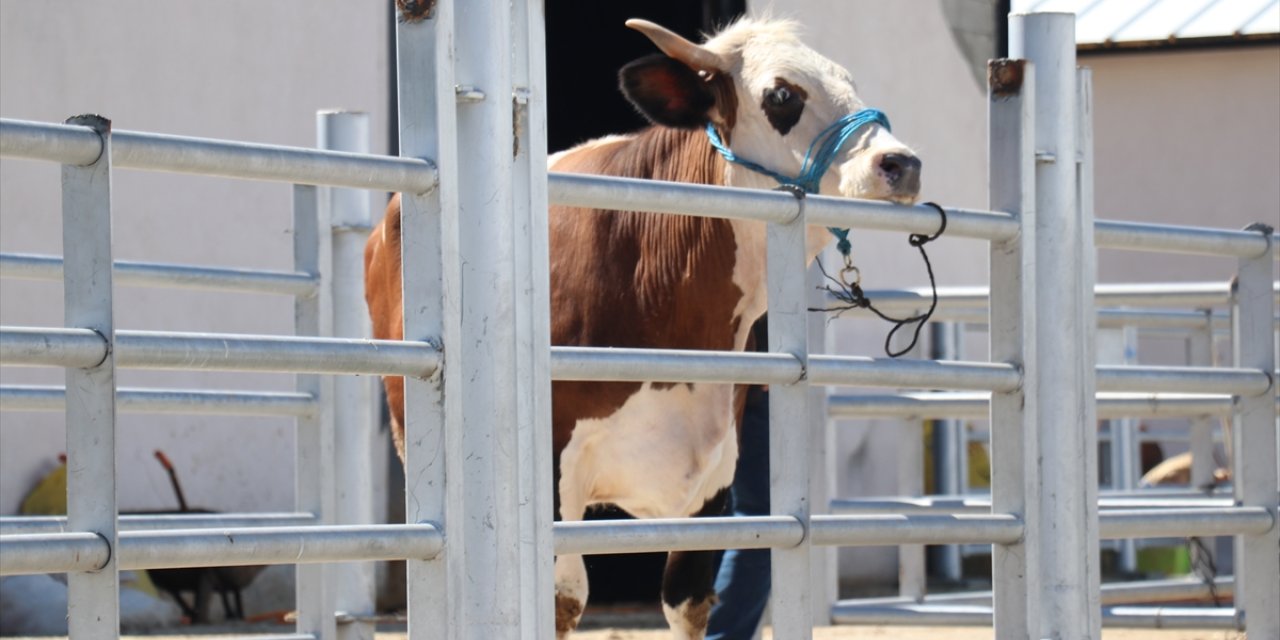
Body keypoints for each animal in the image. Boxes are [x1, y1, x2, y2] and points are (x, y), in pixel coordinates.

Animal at [366, 16, 926, 640]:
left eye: (848, 83)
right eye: (782, 95)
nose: (901, 163)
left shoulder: (713, 483)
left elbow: (688, 599)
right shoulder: (553, 472)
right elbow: (563, 600)